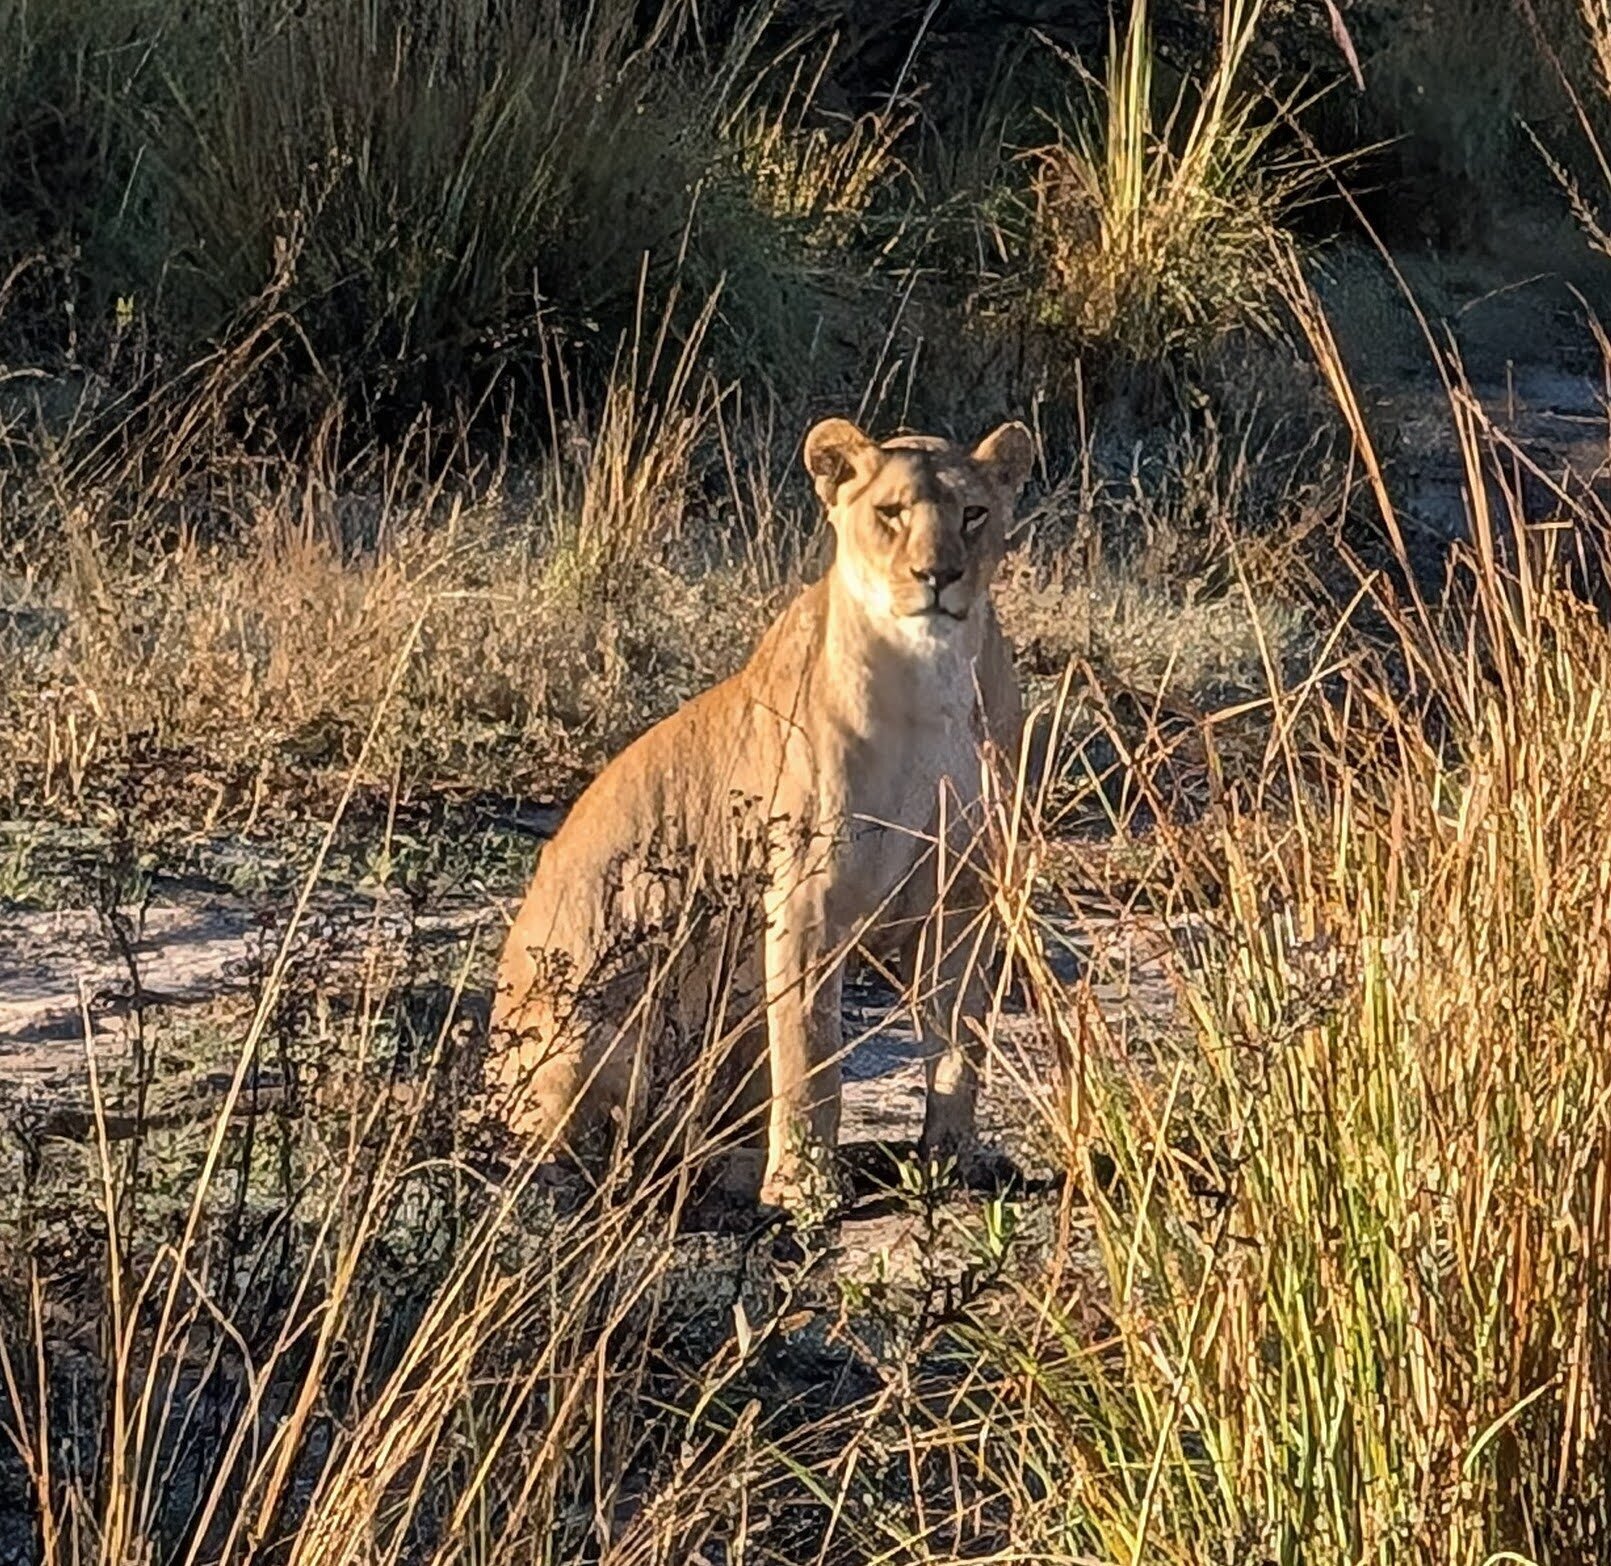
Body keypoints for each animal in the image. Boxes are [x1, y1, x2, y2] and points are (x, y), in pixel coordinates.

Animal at [487, 415, 1034, 1214]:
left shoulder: (960, 898)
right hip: (593, 1034)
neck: (930, 676)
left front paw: (953, 1161)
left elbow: (958, 1045)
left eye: (972, 513)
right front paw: (804, 1189)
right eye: (891, 513)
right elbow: (810, 1053)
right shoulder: (805, 898)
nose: (938, 576)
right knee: (598, 1160)